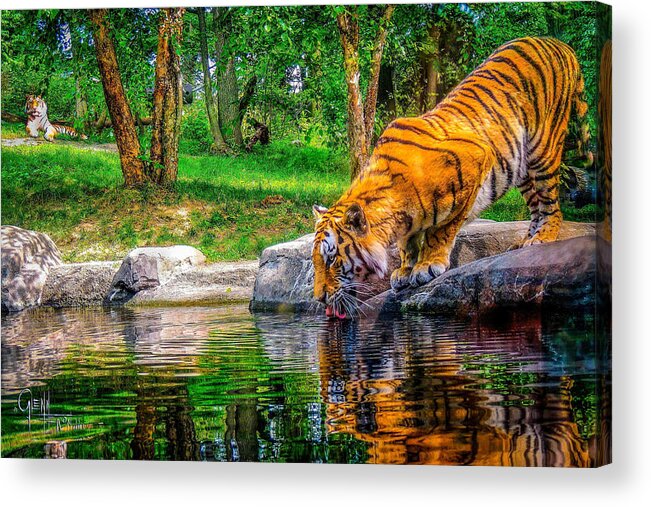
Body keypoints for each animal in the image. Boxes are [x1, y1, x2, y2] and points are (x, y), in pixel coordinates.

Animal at [314, 36, 592, 322]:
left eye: (331, 259)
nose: (319, 298)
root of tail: (558, 43)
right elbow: (407, 244)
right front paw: (404, 270)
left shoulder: (476, 161)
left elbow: (440, 230)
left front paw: (426, 266)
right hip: (521, 167)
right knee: (536, 207)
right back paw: (524, 243)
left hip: (543, 148)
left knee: (551, 207)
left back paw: (543, 238)